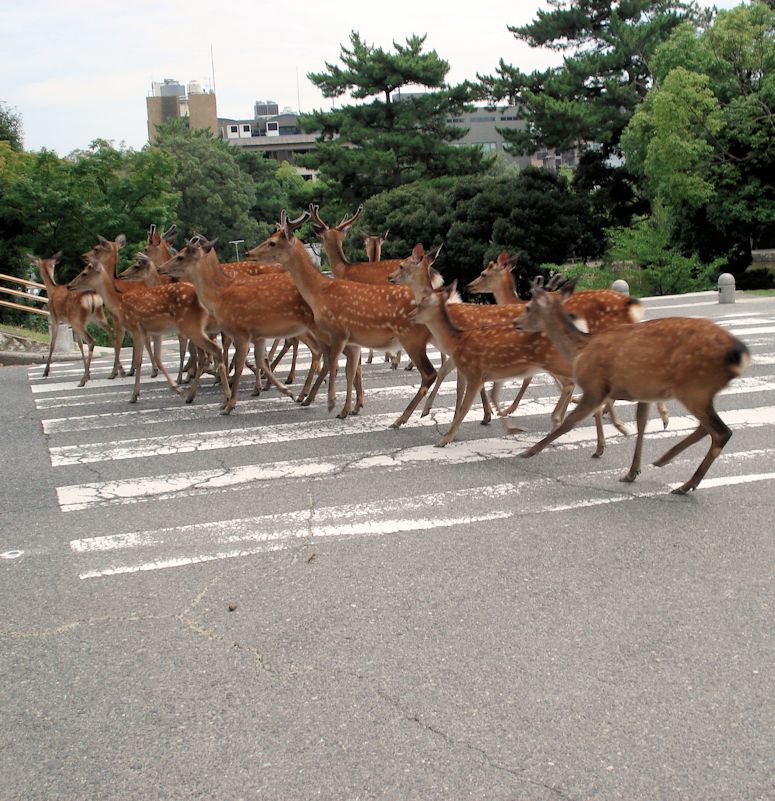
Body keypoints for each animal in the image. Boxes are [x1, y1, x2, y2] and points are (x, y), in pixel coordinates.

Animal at [516, 282, 752, 494]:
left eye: (528, 307)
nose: (515, 322)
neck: (580, 348)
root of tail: (740, 354)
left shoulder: (595, 386)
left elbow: (569, 422)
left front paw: (529, 451)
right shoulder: (644, 391)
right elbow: (641, 423)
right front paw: (632, 472)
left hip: (694, 387)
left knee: (721, 431)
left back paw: (686, 483)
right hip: (700, 391)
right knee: (706, 427)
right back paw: (664, 460)